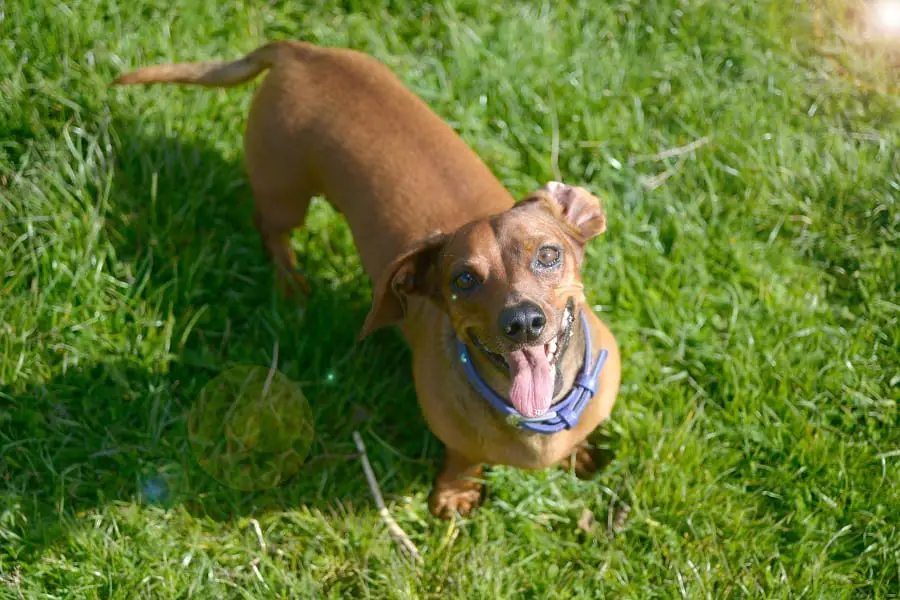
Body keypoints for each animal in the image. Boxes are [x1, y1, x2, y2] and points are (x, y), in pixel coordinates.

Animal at [110, 39, 620, 516]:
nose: (523, 323)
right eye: (463, 280)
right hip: (285, 194)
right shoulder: (455, 437)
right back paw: (291, 284)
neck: (537, 417)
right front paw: (455, 492)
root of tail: (299, 51)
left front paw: (580, 454)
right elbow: (462, 456)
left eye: (548, 254)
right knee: (270, 229)